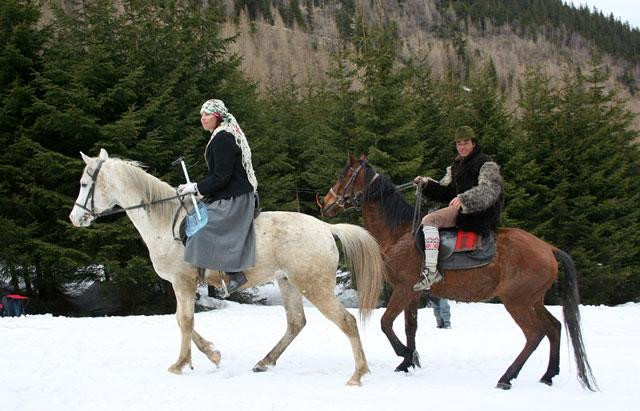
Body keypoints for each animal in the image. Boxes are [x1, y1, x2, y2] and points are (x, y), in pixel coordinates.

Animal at [69, 149, 384, 386]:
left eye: (84, 184)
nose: (74, 218)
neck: (166, 220)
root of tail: (326, 228)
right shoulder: (181, 285)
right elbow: (181, 320)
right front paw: (212, 354)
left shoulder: (182, 282)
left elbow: (185, 320)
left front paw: (180, 364)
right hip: (288, 283)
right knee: (296, 323)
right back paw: (264, 362)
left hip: (314, 286)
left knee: (347, 322)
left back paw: (358, 374)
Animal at [320, 155, 600, 392]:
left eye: (344, 175)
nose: (325, 203)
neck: (400, 232)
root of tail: (548, 248)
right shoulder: (413, 293)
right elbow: (410, 327)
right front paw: (409, 361)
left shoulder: (402, 289)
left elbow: (386, 323)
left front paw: (404, 355)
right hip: (534, 300)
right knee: (554, 327)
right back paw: (548, 375)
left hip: (517, 301)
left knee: (535, 334)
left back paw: (507, 377)